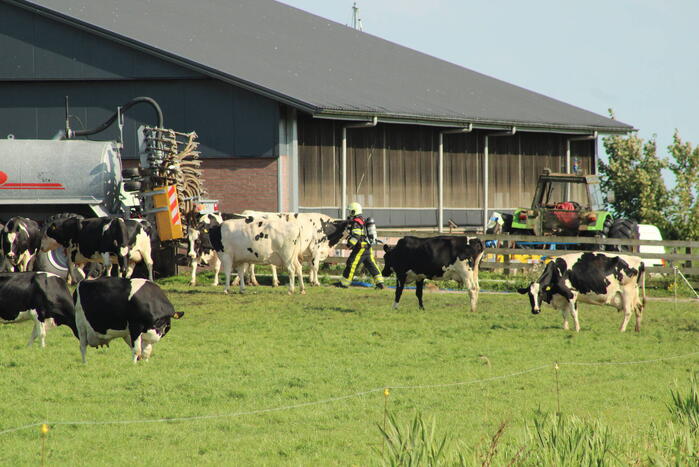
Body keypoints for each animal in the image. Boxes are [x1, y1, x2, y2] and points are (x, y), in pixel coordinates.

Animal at [517, 252, 646, 332]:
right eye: (529, 295)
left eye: (540, 293)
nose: (535, 310)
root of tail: (639, 260)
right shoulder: (563, 297)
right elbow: (564, 313)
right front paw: (565, 328)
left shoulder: (571, 294)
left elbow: (573, 313)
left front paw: (577, 329)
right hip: (634, 293)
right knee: (639, 308)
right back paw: (637, 329)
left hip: (627, 292)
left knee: (628, 311)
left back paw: (621, 330)